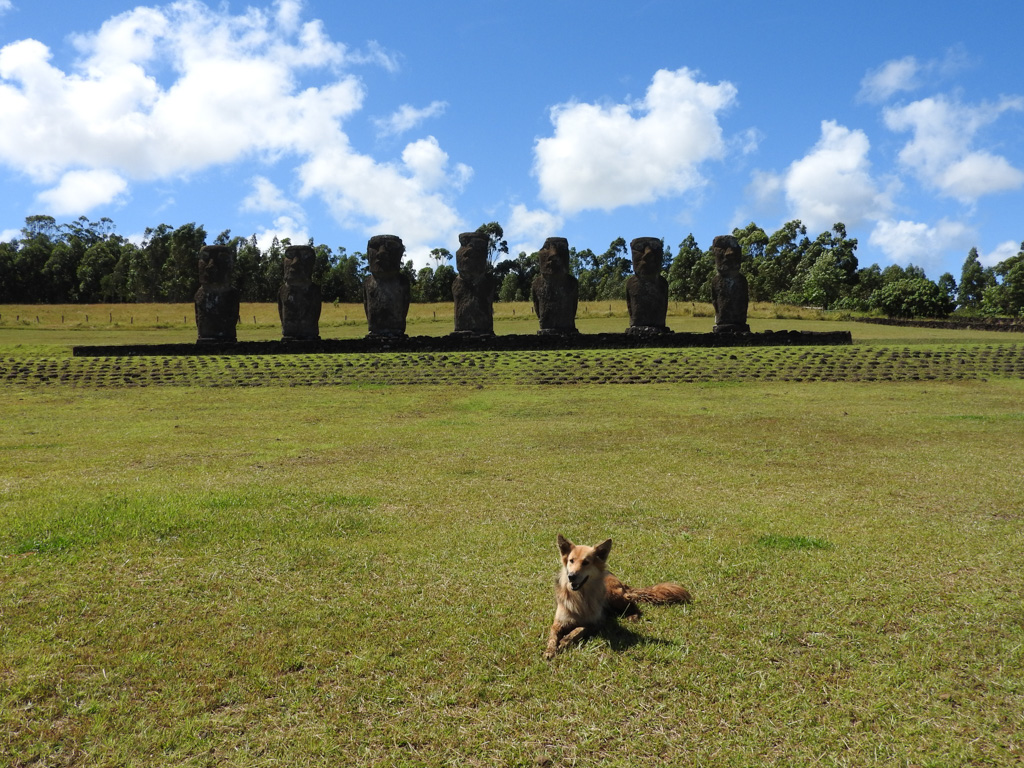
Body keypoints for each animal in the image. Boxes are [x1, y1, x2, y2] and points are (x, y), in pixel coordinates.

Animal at [544, 536, 688, 663]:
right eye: (571, 561)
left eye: (586, 562)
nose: (571, 576)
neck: (580, 596)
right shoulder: (558, 622)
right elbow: (552, 637)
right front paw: (550, 650)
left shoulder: (596, 623)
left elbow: (578, 630)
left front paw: (564, 641)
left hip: (613, 595)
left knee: (633, 603)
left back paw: (632, 616)